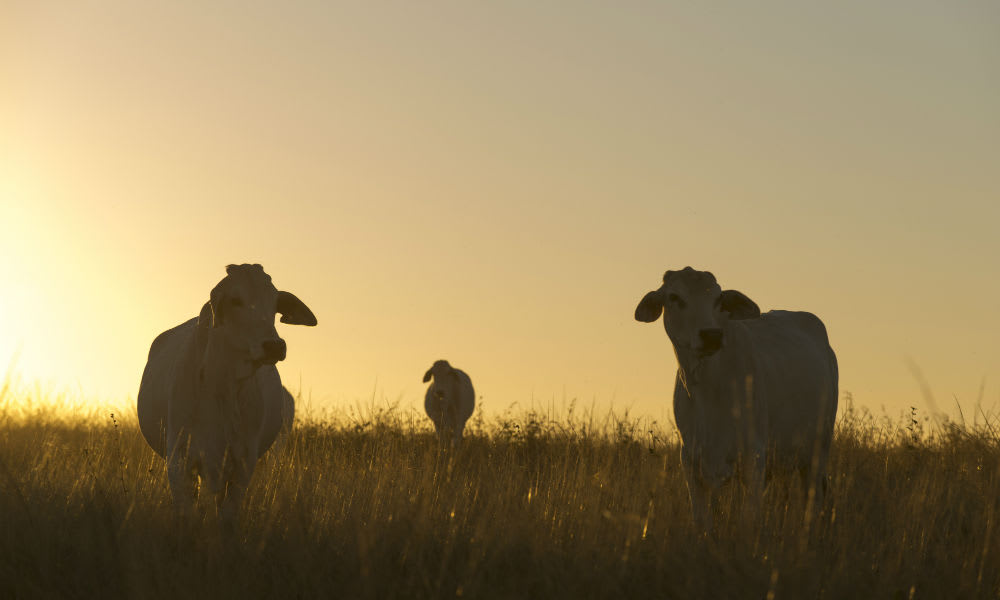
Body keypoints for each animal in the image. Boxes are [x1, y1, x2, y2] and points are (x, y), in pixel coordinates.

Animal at [137, 263, 316, 525]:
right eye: (235, 300)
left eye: (274, 302)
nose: (274, 346)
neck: (221, 384)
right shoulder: (178, 461)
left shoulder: (242, 463)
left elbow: (227, 517)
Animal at [634, 267, 838, 531]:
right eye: (674, 297)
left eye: (718, 298)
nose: (711, 335)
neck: (707, 391)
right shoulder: (691, 461)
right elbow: (702, 521)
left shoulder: (754, 458)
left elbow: (749, 520)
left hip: (817, 451)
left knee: (812, 499)